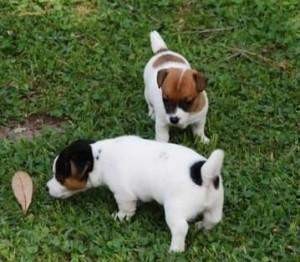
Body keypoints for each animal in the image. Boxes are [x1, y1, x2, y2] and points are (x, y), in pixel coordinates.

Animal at [46, 135, 225, 252]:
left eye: (59, 177)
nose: (46, 187)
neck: (98, 158)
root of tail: (203, 174)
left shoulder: (123, 194)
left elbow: (126, 209)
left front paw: (120, 217)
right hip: (216, 204)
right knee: (213, 219)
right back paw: (201, 226)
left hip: (175, 209)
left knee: (181, 228)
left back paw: (175, 250)